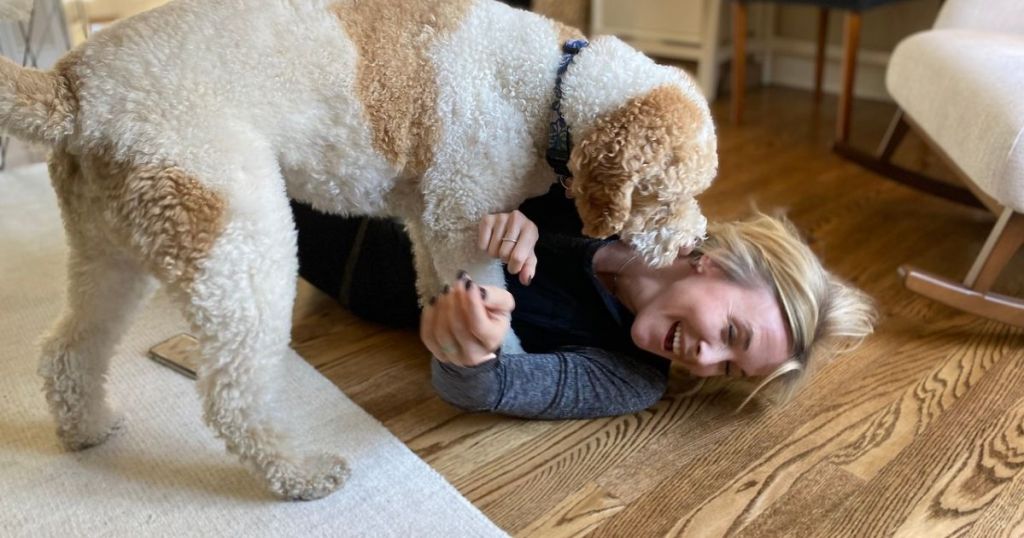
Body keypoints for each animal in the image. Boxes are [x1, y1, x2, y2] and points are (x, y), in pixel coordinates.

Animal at [0, 0, 716, 500]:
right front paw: (499, 355)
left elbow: (434, 281)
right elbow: (493, 297)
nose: (695, 240)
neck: (551, 87)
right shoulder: (463, 217)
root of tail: (74, 87)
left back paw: (87, 428)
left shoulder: (429, 220)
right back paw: (299, 473)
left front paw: (444, 327)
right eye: (669, 195)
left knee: (68, 351)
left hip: (110, 248)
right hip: (242, 245)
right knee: (233, 397)